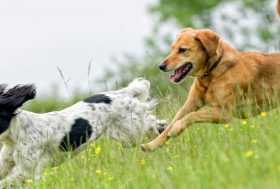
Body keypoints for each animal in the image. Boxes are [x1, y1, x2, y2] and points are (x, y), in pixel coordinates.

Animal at [0, 78, 166, 188]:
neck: (15, 134)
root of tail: (124, 92)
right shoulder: (6, 163)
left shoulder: (28, 170)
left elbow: (7, 182)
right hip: (126, 137)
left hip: (131, 133)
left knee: (149, 123)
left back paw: (161, 128)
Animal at [141, 26, 280, 151]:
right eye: (173, 48)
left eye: (182, 50)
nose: (161, 66)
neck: (212, 72)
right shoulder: (190, 104)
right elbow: (171, 125)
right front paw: (151, 145)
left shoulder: (224, 113)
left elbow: (191, 116)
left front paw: (176, 128)